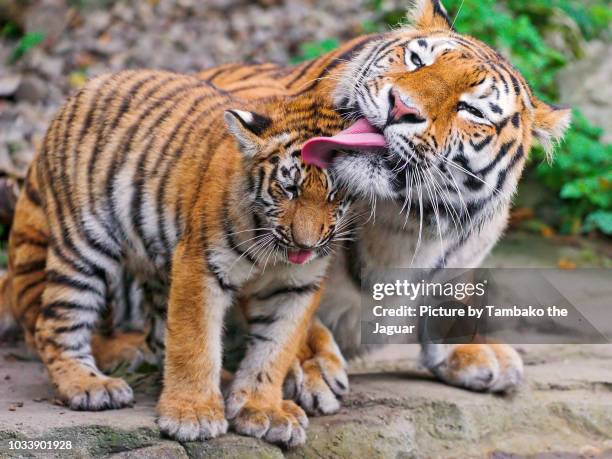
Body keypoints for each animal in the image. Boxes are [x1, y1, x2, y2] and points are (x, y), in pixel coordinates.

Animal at [200, 0, 568, 414]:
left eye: (472, 110)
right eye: (416, 60)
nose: (401, 107)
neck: (400, 219)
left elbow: (452, 295)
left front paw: (474, 351)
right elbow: (285, 305)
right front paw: (311, 366)